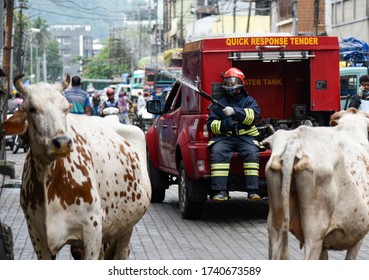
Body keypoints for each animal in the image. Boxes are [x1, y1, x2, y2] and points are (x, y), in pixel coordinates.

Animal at [1, 73, 151, 260]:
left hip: (127, 225)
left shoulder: (92, 228)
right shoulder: (37, 234)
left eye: (65, 108)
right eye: (32, 108)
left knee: (122, 251)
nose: (62, 142)